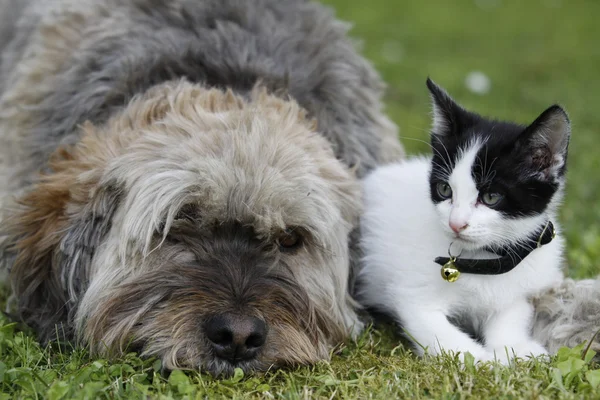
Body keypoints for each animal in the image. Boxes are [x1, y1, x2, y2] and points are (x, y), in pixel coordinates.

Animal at [358, 79, 568, 364]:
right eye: (445, 189)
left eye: (491, 197)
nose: (456, 224)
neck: (483, 259)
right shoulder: (413, 297)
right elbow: (441, 334)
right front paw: (484, 360)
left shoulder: (520, 286)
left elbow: (510, 314)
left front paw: (515, 347)